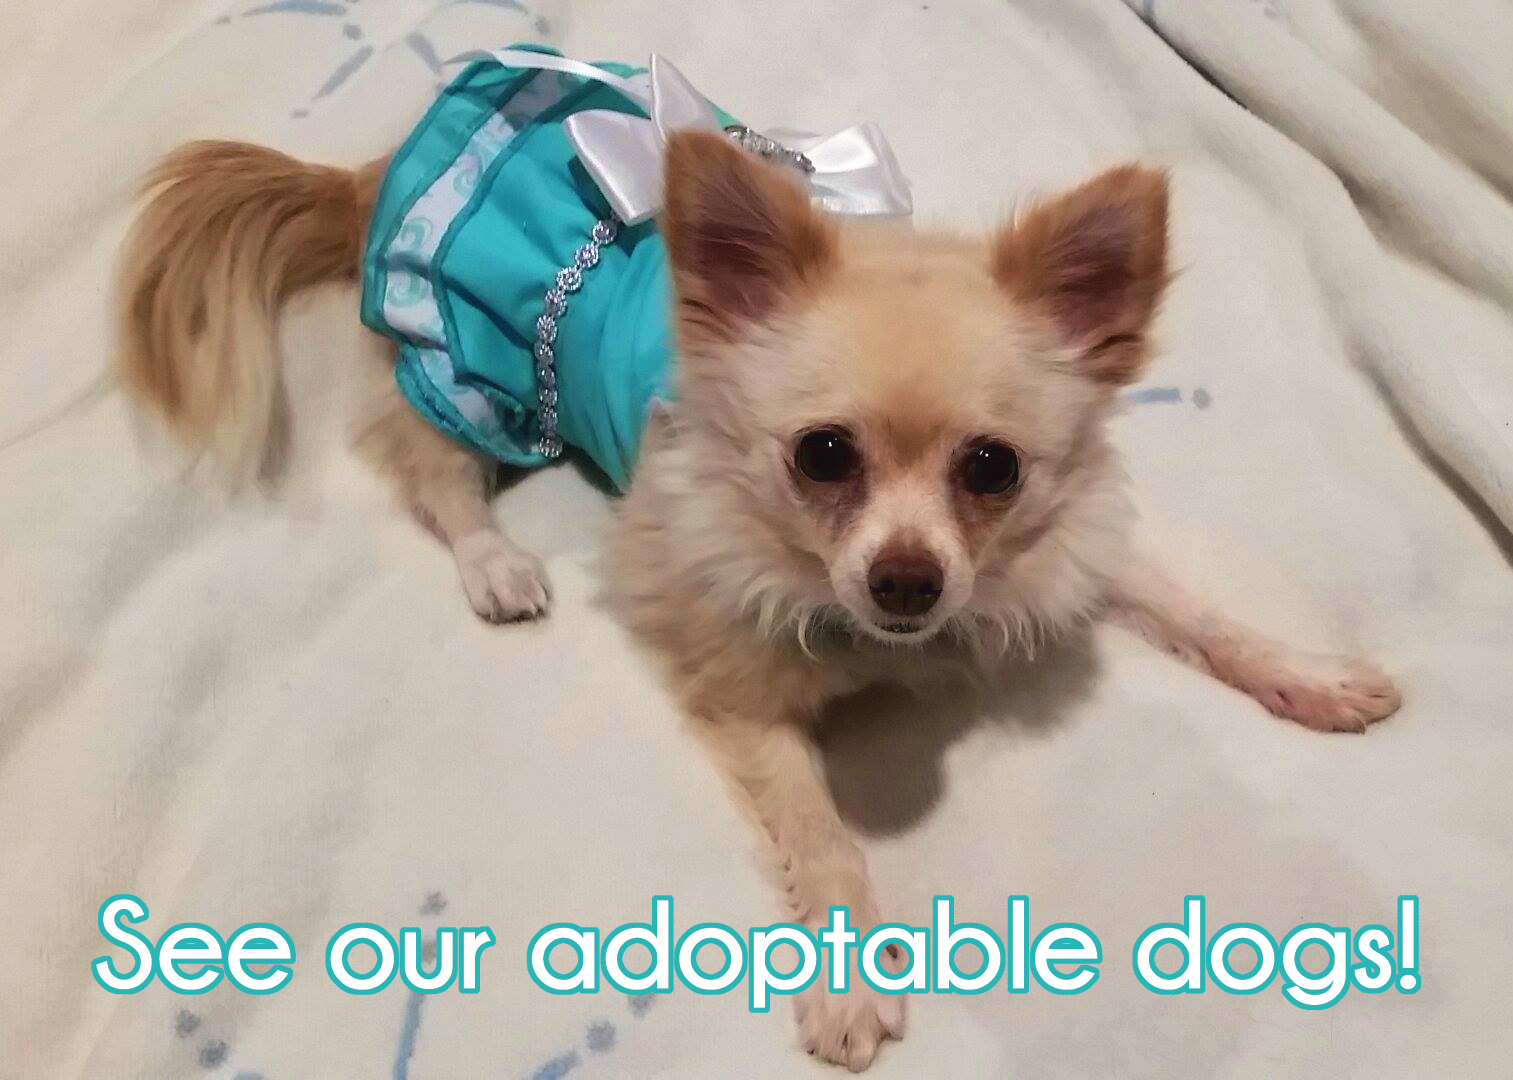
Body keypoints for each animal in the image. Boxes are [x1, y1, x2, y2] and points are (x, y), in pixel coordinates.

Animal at [118, 126, 1400, 1069]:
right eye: (821, 457)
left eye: (993, 469)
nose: (906, 579)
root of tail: (381, 163)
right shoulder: (743, 695)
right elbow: (826, 843)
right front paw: (847, 983)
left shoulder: (1054, 551)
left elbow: (1197, 610)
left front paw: (1312, 676)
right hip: (462, 377)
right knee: (434, 480)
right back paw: (497, 564)